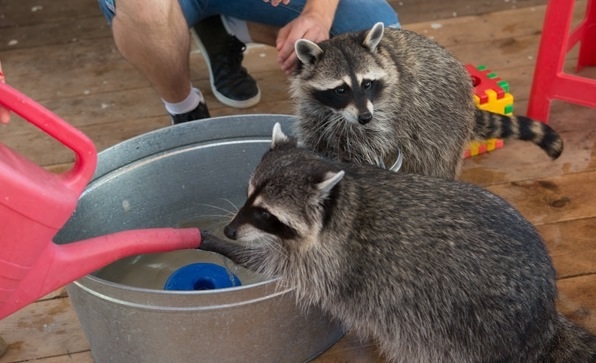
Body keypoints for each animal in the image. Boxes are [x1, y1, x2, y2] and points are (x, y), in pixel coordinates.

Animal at [200, 124, 596, 363]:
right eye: (248, 194)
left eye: (266, 214)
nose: (230, 231)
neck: (341, 203)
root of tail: (544, 322)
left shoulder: (326, 263)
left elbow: (271, 264)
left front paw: (218, 244)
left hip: (464, 330)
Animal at [292, 22, 564, 179]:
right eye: (340, 90)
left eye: (367, 84)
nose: (365, 118)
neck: (337, 113)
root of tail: (470, 100)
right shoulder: (314, 110)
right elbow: (316, 137)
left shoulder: (387, 111)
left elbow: (366, 147)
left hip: (444, 126)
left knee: (436, 161)